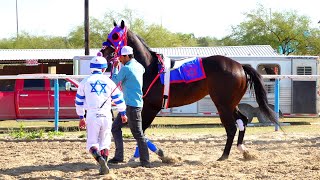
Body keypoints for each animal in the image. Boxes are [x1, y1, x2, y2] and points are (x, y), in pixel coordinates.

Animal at [100, 20, 278, 161]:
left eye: (115, 36)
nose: (103, 51)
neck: (150, 67)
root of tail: (240, 66)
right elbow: (140, 131)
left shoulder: (151, 107)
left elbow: (141, 131)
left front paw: (147, 156)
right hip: (230, 103)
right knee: (243, 120)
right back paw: (242, 149)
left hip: (223, 104)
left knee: (231, 127)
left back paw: (224, 155)